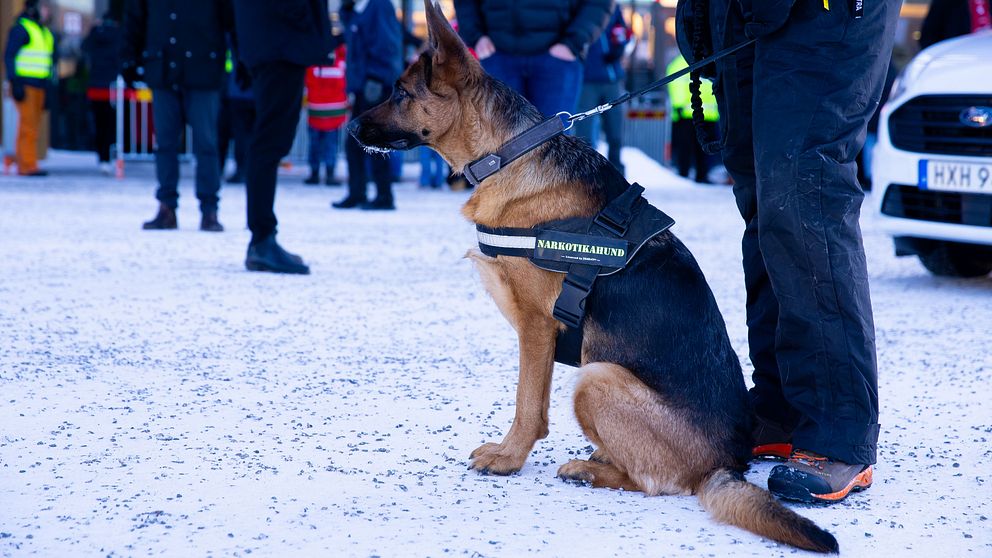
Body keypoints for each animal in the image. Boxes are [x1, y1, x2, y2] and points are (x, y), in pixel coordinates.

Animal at [348, 0, 836, 552]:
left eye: (401, 93)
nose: (350, 129)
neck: (510, 154)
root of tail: (727, 464)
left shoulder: (536, 328)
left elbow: (527, 406)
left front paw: (509, 458)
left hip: (596, 377)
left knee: (655, 481)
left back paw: (589, 469)